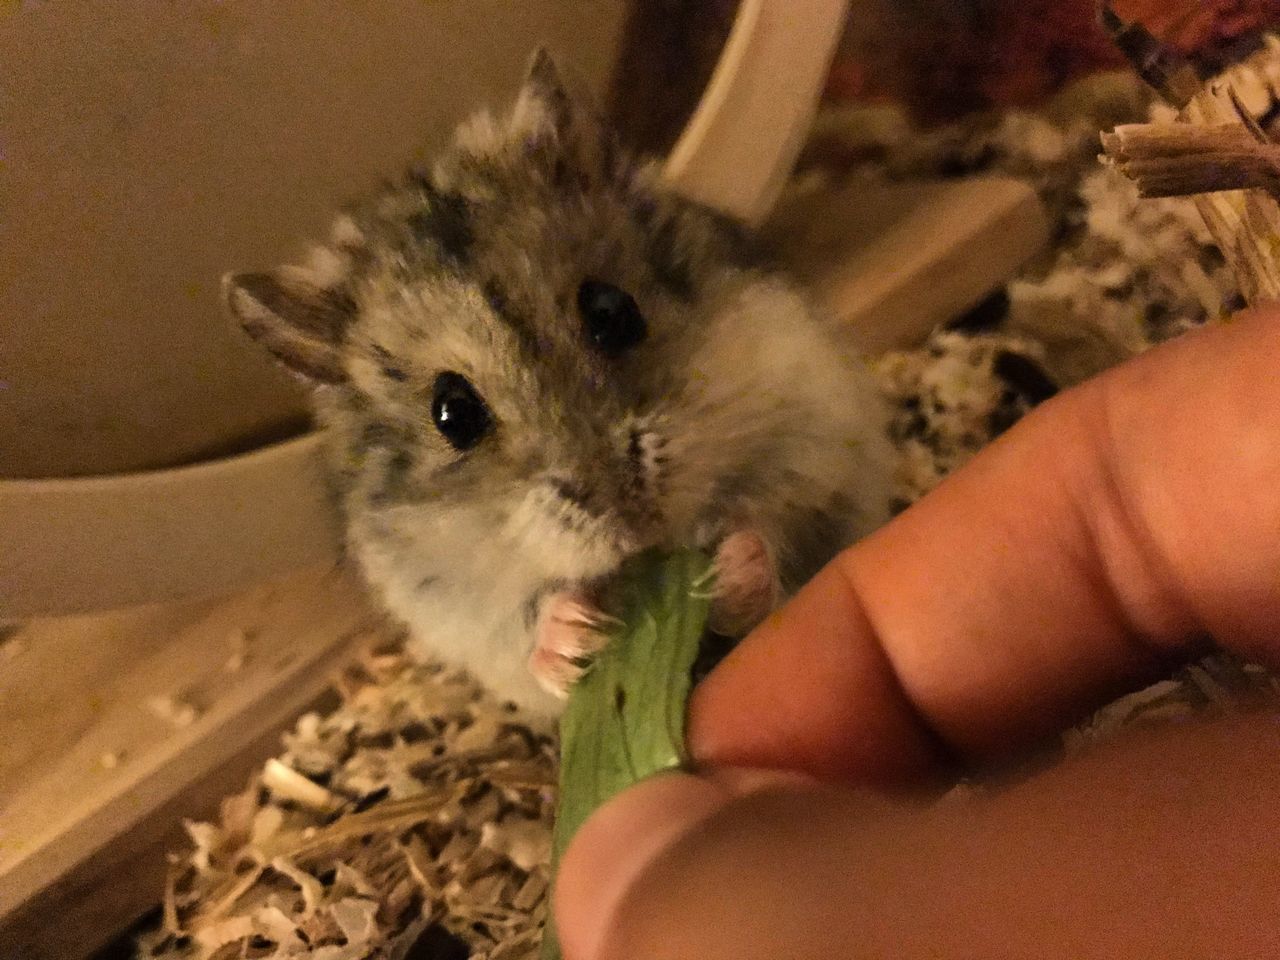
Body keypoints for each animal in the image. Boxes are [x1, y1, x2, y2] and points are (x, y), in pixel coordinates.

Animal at [225, 50, 896, 716]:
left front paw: (727, 571)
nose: (631, 517)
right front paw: (574, 637)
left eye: (611, 311)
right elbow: (525, 627)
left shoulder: (815, 446)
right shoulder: (455, 609)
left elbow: (775, 531)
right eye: (451, 414)